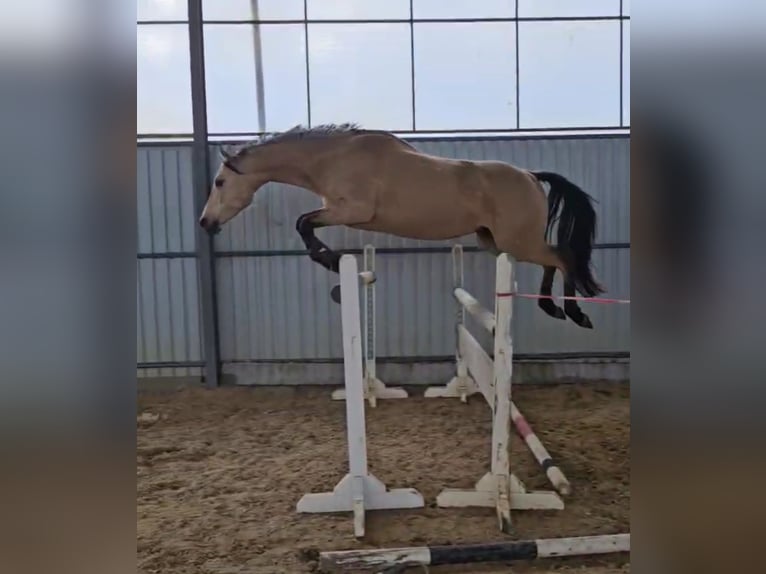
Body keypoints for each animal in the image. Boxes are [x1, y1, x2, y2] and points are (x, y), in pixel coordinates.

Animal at [199, 123, 604, 328]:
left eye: (219, 182)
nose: (205, 222)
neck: (333, 158)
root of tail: (531, 176)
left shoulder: (351, 210)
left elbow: (303, 225)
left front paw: (331, 260)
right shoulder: (339, 211)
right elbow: (305, 224)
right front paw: (331, 259)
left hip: (517, 241)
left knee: (563, 257)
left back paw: (575, 314)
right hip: (497, 242)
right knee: (554, 260)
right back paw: (552, 308)